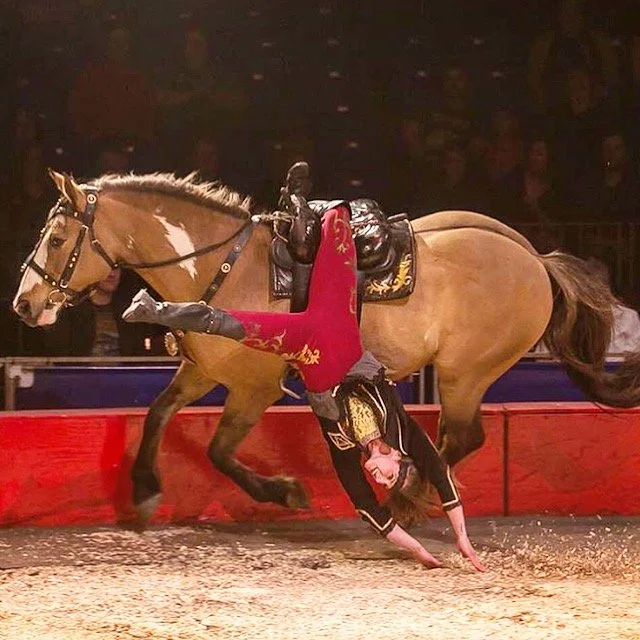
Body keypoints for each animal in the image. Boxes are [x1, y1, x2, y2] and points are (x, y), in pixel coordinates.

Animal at [13, 170, 640, 520]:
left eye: (57, 237)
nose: (24, 303)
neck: (220, 268)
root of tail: (534, 258)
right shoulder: (202, 371)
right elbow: (157, 414)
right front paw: (144, 488)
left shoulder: (255, 386)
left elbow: (219, 451)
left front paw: (285, 492)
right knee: (455, 439)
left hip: (464, 372)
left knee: (463, 437)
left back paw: (406, 499)